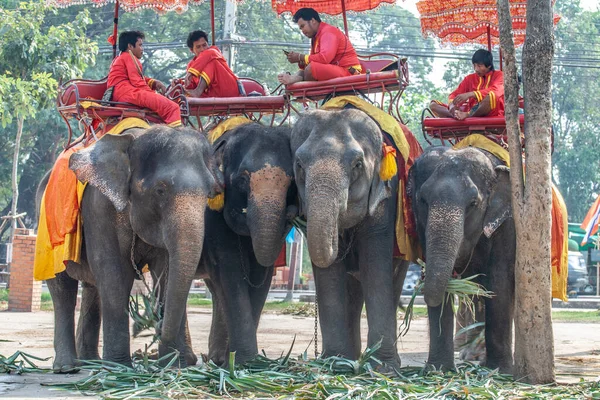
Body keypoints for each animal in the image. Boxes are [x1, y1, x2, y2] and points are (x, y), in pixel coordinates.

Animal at [40, 126, 223, 372]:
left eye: (209, 193)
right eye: (160, 190)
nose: (148, 327)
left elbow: (165, 272)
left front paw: (173, 365)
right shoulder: (100, 207)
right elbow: (114, 272)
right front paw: (119, 368)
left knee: (91, 288)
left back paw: (91, 361)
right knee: (63, 288)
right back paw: (67, 367)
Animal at [197, 122, 296, 366]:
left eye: (292, 183)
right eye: (242, 180)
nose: (291, 213)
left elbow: (261, 274)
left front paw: (244, 363)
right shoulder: (212, 216)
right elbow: (230, 271)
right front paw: (244, 362)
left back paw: (215, 359)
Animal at [290, 108, 408, 370]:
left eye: (357, 164)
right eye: (299, 164)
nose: (341, 238)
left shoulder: (386, 196)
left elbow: (374, 265)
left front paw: (383, 368)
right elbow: (330, 275)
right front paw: (335, 363)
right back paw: (350, 359)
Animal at [408, 145, 516, 374]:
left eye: (473, 203)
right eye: (423, 200)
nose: (417, 283)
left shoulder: (508, 224)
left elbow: (499, 281)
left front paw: (501, 371)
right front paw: (439, 370)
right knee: (476, 296)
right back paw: (472, 356)